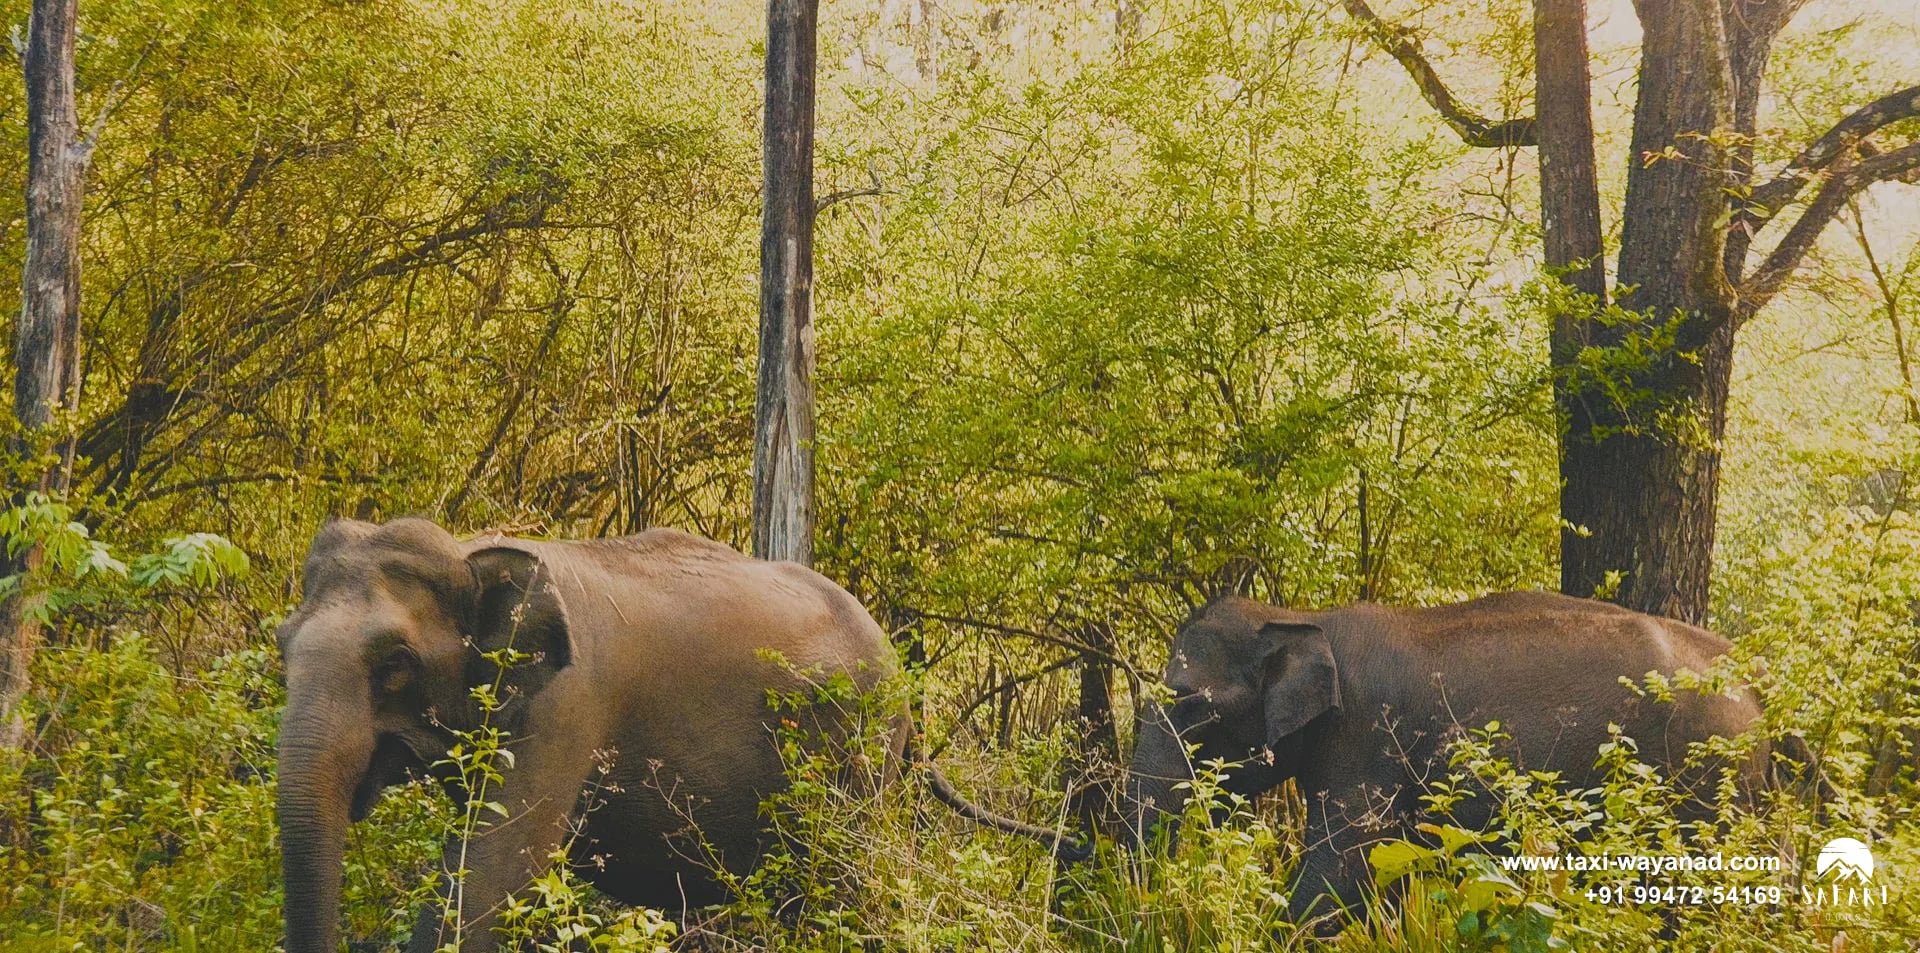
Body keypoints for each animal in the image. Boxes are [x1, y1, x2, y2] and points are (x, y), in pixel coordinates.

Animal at [277, 517, 1072, 953]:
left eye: (396, 665)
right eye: (282, 643)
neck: (472, 546)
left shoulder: (567, 708)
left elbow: (489, 881)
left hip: (855, 753)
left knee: (842, 888)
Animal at [1122, 591, 1778, 929]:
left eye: (1190, 704)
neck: (1298, 614)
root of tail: (1754, 676)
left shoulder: (1367, 740)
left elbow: (1340, 872)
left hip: (1703, 781)